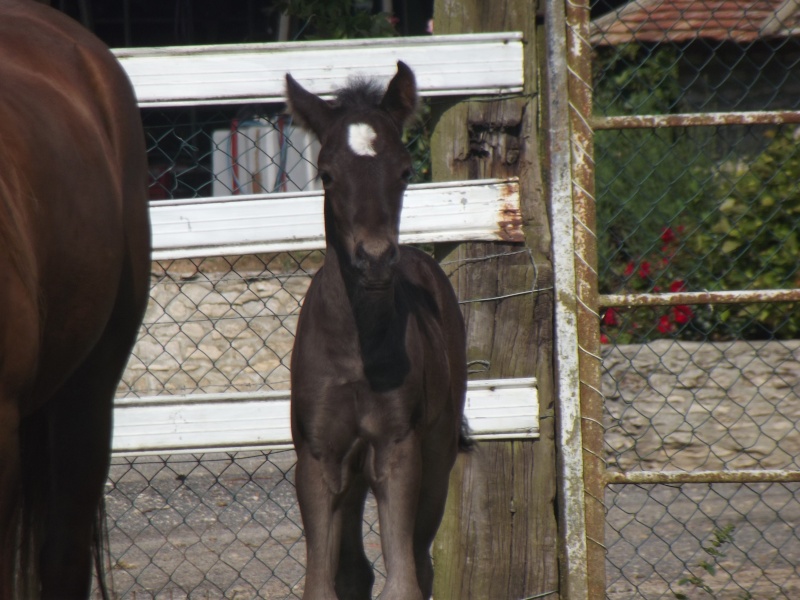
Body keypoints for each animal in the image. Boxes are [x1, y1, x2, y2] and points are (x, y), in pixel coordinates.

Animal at [288, 63, 468, 596]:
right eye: (327, 174)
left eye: (406, 171)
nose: (374, 259)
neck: (356, 350)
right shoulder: (319, 457)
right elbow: (322, 583)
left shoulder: (398, 450)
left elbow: (403, 581)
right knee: (353, 570)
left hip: (437, 456)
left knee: (421, 562)